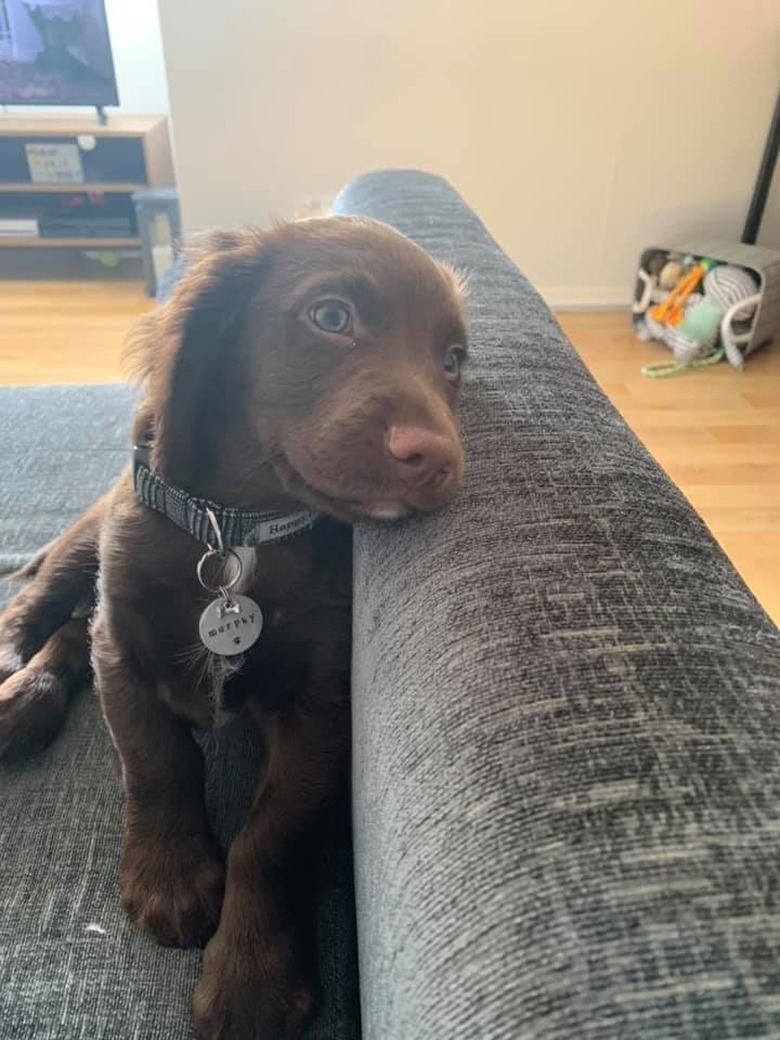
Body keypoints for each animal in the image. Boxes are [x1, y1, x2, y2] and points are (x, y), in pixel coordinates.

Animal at [0, 215, 467, 1035]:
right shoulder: (123, 648)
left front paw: (252, 975)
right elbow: (156, 759)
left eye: (451, 360)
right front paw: (170, 875)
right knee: (48, 607)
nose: (440, 460)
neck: (237, 529)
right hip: (90, 540)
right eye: (331, 316)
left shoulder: (319, 707)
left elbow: (271, 835)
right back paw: (14, 687)